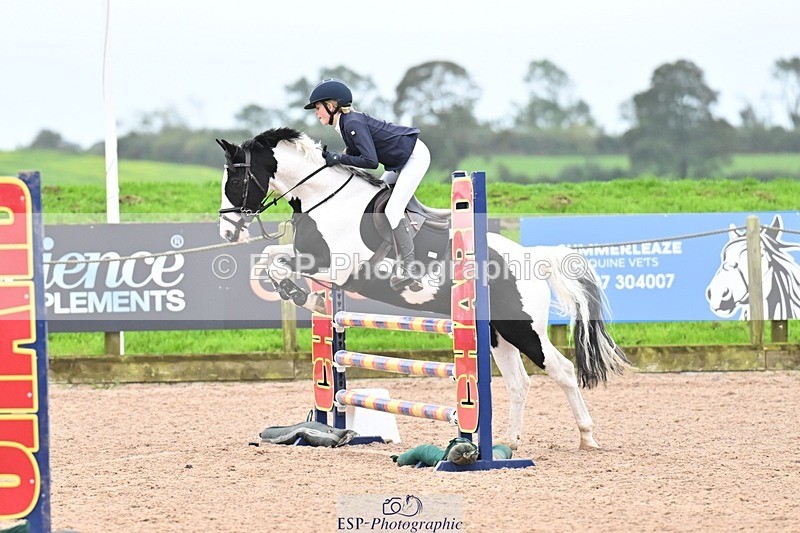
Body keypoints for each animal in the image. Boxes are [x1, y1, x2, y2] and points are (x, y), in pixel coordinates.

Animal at [216, 127, 629, 450]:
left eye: (234, 181)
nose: (227, 231)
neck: (326, 199)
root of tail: (531, 257)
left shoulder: (338, 267)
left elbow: (277, 261)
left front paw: (297, 292)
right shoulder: (316, 262)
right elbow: (270, 256)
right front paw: (301, 294)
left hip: (522, 328)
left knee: (562, 370)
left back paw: (586, 437)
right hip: (497, 333)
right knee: (519, 383)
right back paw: (509, 442)